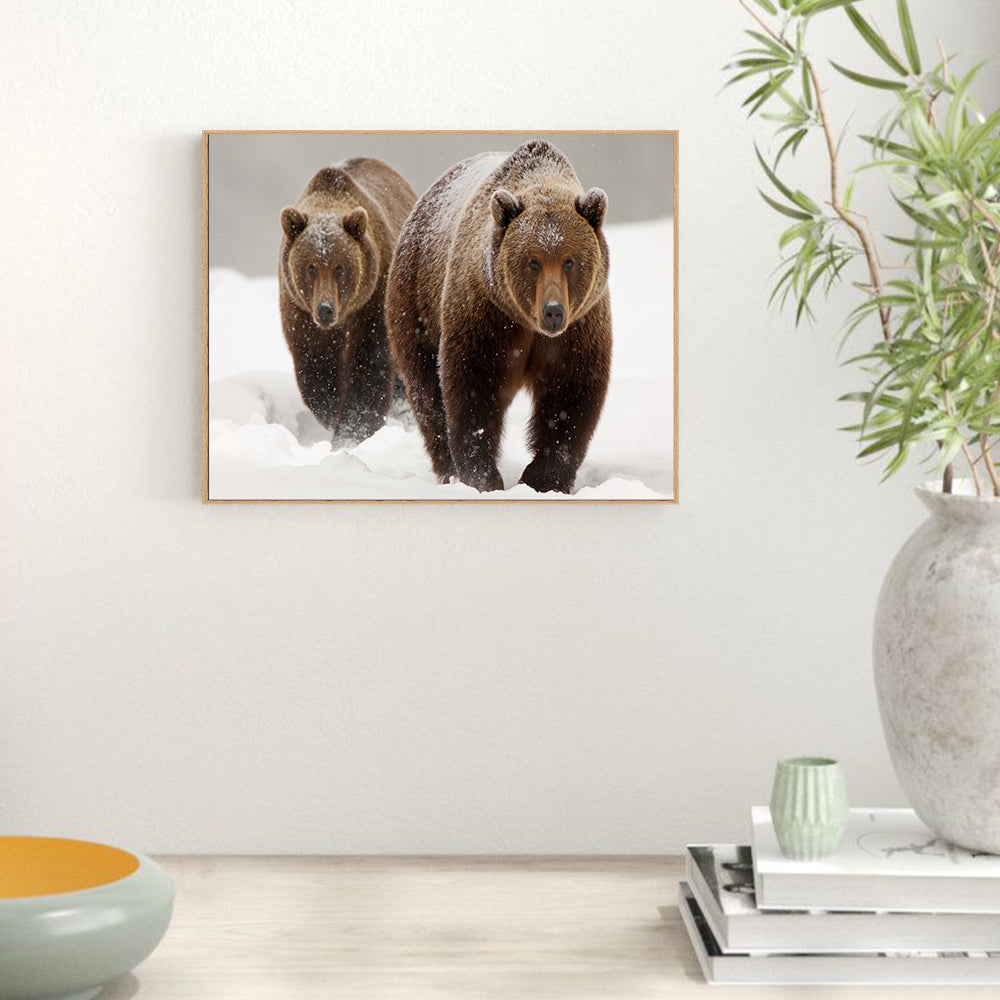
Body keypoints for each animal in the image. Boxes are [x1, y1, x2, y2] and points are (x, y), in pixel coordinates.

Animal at [279, 157, 417, 446]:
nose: (325, 309)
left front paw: (352, 430)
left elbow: (369, 366)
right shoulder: (299, 312)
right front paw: (333, 413)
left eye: (339, 268)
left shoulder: (371, 303)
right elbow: (317, 368)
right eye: (311, 267)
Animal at [385, 140, 612, 494]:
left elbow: (570, 395)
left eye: (570, 260)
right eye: (533, 261)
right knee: (427, 394)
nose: (553, 311)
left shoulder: (580, 327)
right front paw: (483, 476)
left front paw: (543, 479)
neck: (529, 324)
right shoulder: (488, 315)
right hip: (415, 303)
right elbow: (474, 386)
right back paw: (447, 469)